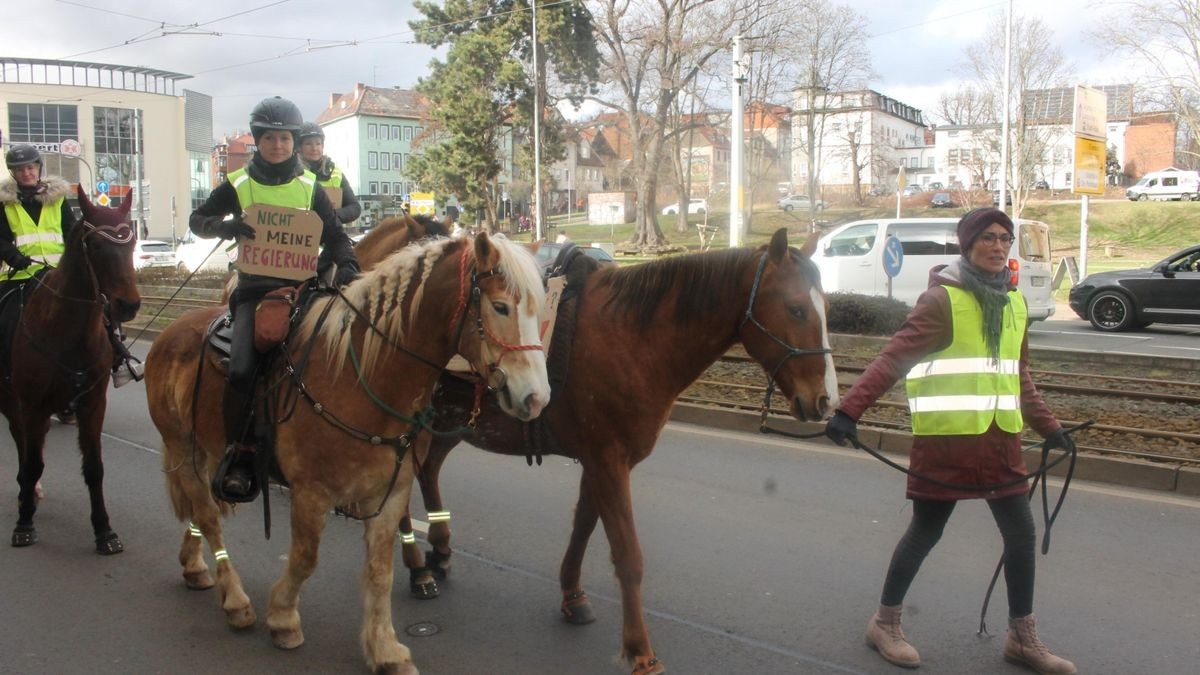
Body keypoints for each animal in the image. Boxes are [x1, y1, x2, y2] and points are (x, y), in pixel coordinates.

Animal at [1, 184, 140, 552]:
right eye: (96, 245)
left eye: (131, 241)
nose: (129, 305)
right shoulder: (33, 405)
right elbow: (33, 462)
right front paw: (24, 523)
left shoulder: (92, 404)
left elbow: (94, 468)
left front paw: (104, 530)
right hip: (13, 402)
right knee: (22, 444)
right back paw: (27, 494)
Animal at [144, 233, 549, 672]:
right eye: (500, 306)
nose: (536, 398)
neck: (362, 378)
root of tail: (169, 334)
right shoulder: (310, 494)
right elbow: (305, 559)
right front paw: (283, 618)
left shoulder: (390, 495)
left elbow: (380, 572)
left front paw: (385, 649)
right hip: (182, 445)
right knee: (208, 516)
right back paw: (235, 600)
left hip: (204, 452)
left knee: (201, 511)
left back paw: (194, 565)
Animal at [350, 227, 840, 672]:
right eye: (796, 308)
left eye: (827, 309)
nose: (825, 401)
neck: (633, 337)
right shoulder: (609, 460)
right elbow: (627, 554)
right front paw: (639, 648)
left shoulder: (599, 459)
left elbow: (584, 525)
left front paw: (572, 594)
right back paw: (418, 567)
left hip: (448, 427)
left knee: (428, 471)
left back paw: (440, 548)